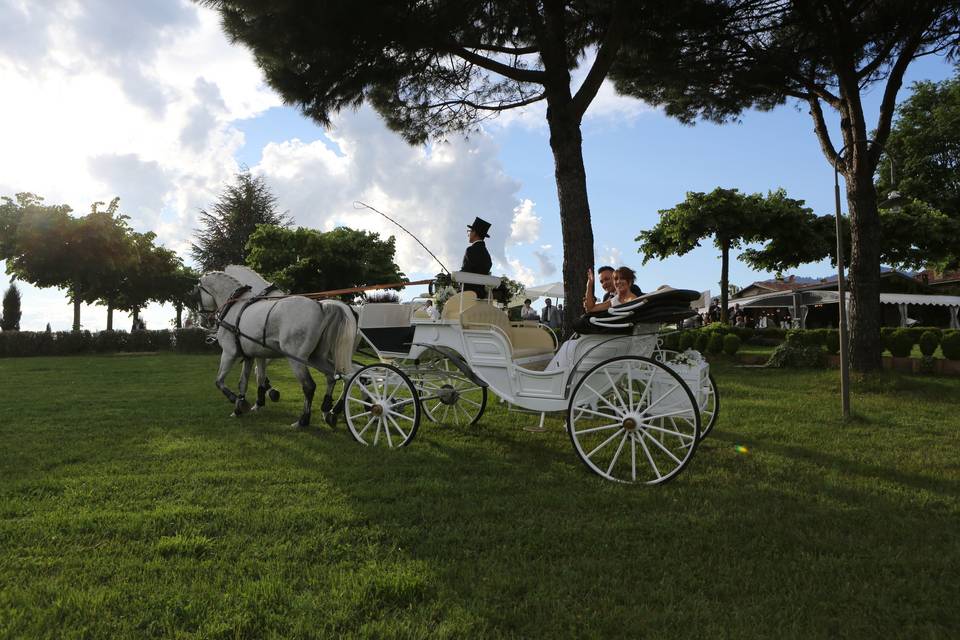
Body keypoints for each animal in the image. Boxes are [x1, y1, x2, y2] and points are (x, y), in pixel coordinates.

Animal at [196, 272, 360, 428]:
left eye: (196, 293)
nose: (203, 321)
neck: (236, 307)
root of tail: (322, 307)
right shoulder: (251, 355)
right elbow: (246, 382)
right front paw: (240, 408)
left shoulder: (229, 353)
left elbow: (219, 381)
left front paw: (237, 401)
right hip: (316, 357)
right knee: (336, 376)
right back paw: (328, 410)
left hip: (296, 359)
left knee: (310, 386)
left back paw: (303, 420)